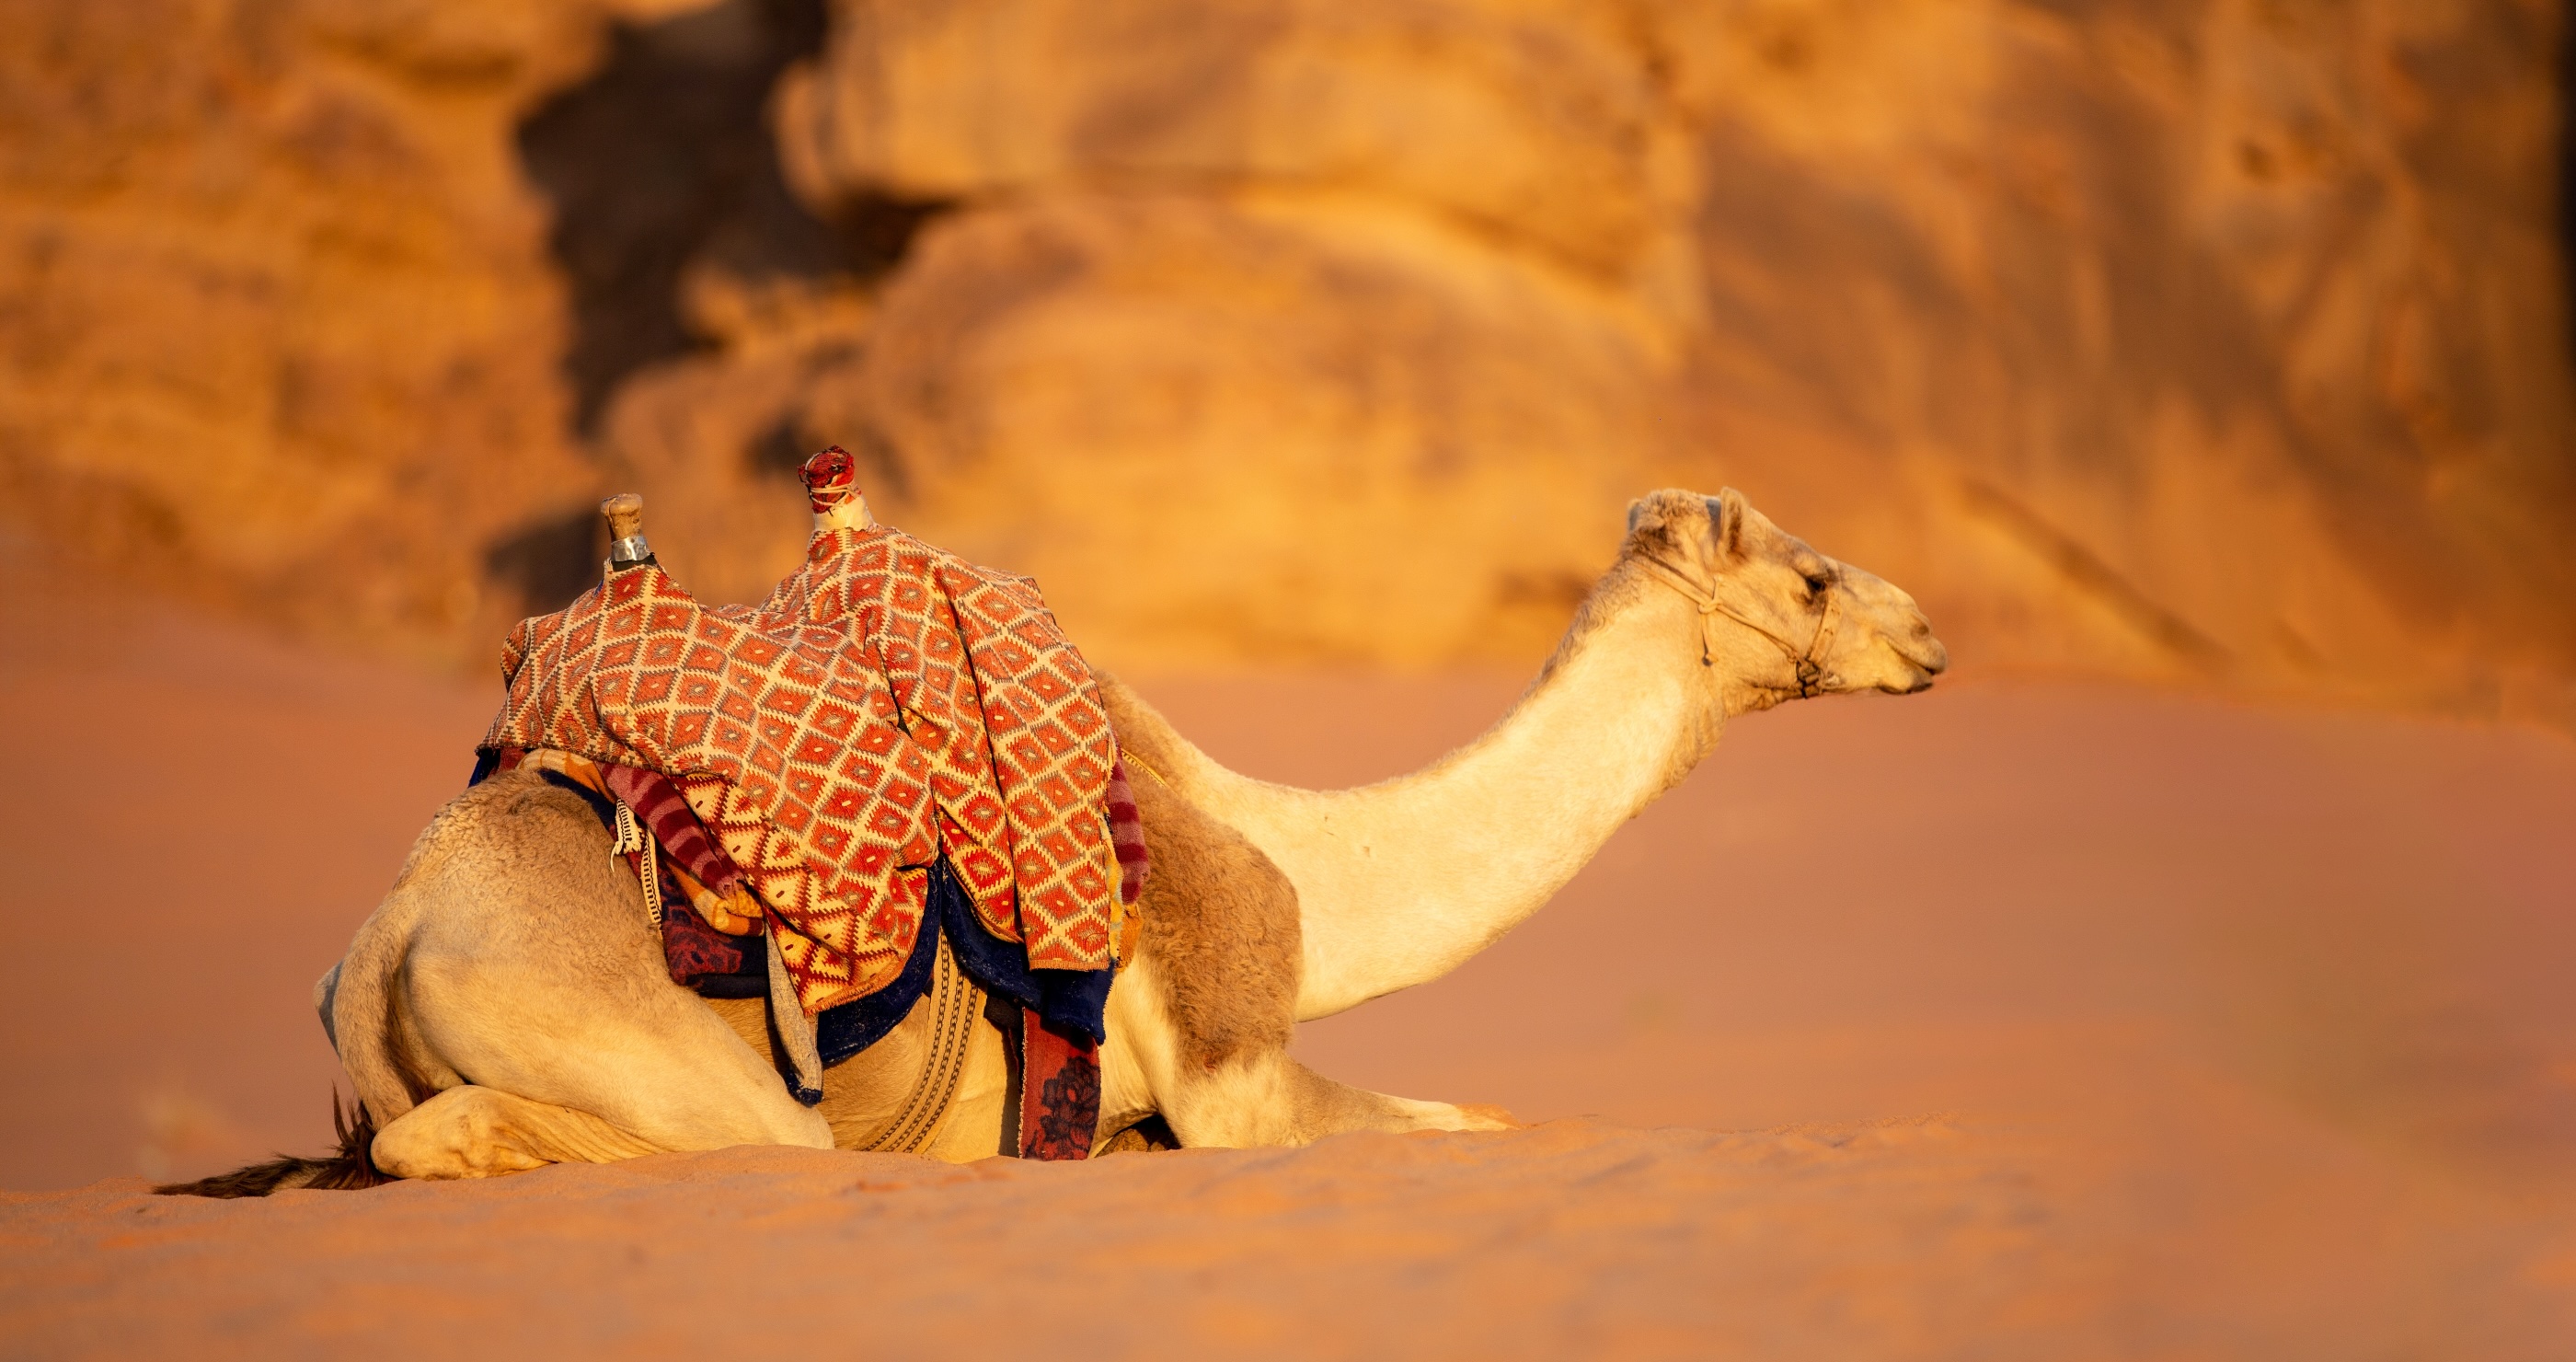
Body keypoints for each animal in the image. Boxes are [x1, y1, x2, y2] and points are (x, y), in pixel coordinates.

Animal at [164, 487, 1944, 1193]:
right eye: (1806, 574)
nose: (1927, 631)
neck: (1304, 869)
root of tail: (388, 942)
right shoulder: (1232, 1067)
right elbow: (1458, 1123)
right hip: (648, 1051)